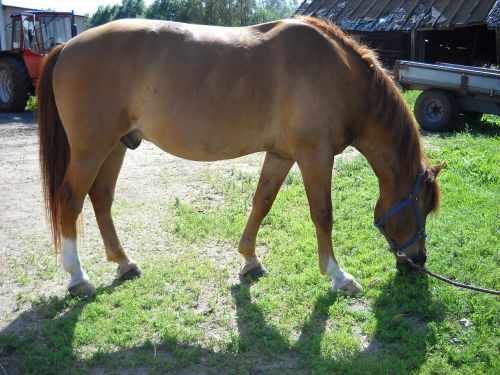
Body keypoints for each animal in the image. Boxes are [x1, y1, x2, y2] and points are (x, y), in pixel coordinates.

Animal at [37, 16, 442, 300]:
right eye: (421, 205)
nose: (418, 261)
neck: (338, 72)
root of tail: (67, 46)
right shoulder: (315, 155)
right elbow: (323, 214)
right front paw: (339, 276)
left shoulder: (281, 154)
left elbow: (262, 201)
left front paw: (250, 260)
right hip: (91, 149)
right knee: (71, 200)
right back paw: (78, 278)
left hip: (117, 145)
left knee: (101, 199)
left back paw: (123, 263)